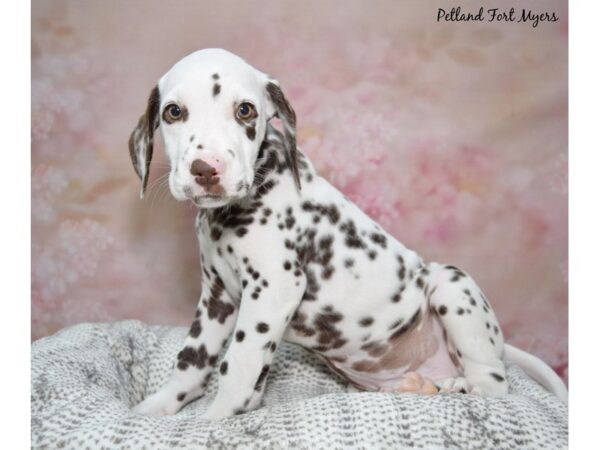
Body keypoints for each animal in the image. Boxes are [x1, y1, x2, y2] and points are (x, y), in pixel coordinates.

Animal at [127, 48, 568, 418]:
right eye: (174, 112)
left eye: (245, 110)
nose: (206, 169)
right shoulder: (216, 298)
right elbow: (192, 359)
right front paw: (156, 408)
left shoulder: (273, 287)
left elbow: (238, 364)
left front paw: (215, 420)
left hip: (452, 285)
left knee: (494, 384)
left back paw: (465, 386)